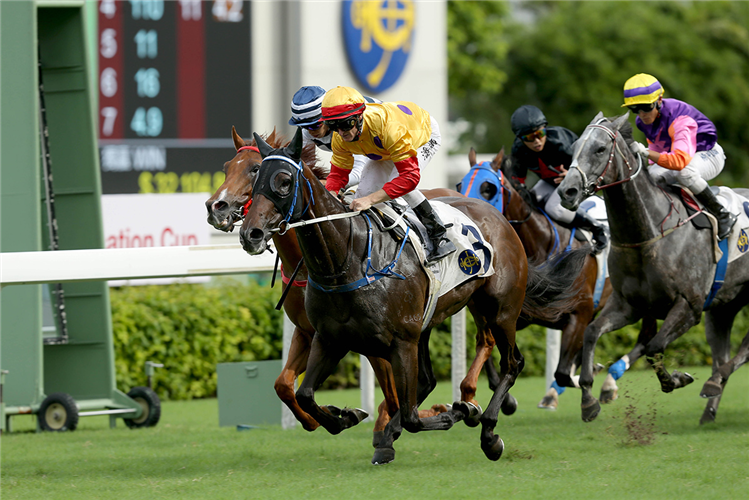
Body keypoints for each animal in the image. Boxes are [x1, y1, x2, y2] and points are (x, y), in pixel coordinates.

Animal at [206, 129, 444, 442]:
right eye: (225, 168)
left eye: (255, 169)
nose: (215, 207)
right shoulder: (310, 332)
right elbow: (284, 384)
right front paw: (325, 417)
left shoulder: (374, 339)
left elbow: (393, 397)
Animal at [240, 127, 592, 462]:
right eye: (256, 178)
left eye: (285, 182)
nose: (250, 234)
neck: (347, 260)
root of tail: (500, 217)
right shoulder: (330, 339)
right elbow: (305, 395)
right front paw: (346, 415)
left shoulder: (399, 341)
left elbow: (411, 416)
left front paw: (457, 412)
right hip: (430, 322)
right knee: (427, 381)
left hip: (500, 311)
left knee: (512, 363)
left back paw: (488, 431)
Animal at [458, 148, 612, 410]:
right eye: (460, 184)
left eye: (489, 188)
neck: (542, 244)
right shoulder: (511, 315)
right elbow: (491, 354)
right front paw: (506, 400)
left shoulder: (579, 312)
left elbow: (562, 372)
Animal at [556, 111, 748, 424]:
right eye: (573, 150)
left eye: (599, 149)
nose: (566, 191)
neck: (648, 232)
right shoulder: (628, 306)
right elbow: (592, 332)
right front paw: (588, 400)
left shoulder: (689, 306)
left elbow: (654, 347)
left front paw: (677, 379)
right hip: (724, 307)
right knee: (722, 352)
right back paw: (711, 402)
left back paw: (714, 380)